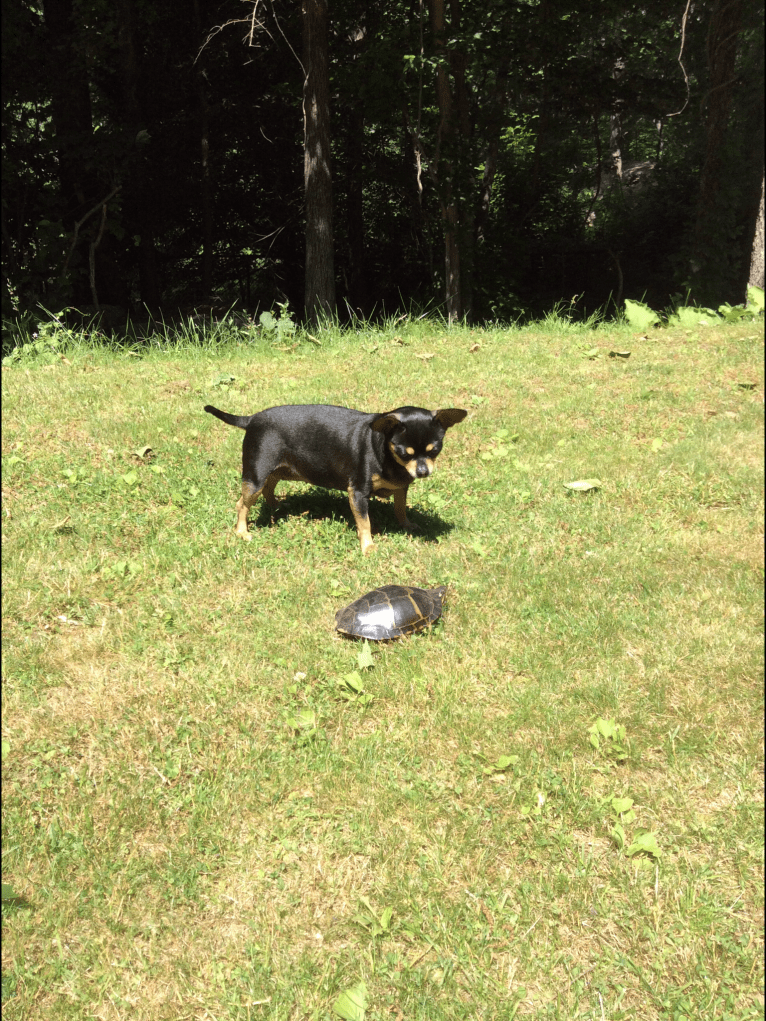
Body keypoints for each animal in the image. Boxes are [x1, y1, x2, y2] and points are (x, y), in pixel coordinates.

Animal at [204, 402, 467, 555]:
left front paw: (406, 525)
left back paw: (276, 507)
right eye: (404, 453)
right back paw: (242, 532)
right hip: (256, 474)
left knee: (270, 487)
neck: (385, 451)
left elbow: (400, 508)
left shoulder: (402, 488)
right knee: (242, 503)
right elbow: (365, 523)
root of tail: (251, 419)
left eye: (435, 450)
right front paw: (368, 546)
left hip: (278, 469)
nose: (423, 471)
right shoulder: (358, 493)